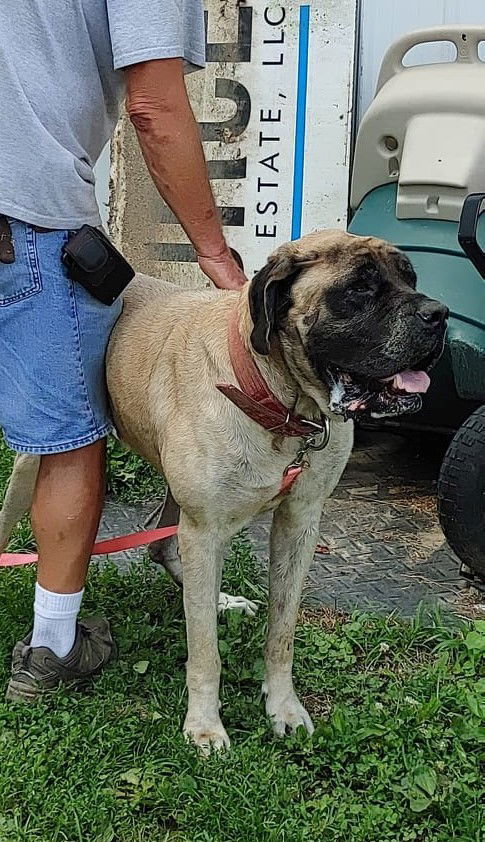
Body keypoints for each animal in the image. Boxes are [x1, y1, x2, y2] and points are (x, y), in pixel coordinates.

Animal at [0, 230, 446, 748]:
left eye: (410, 277)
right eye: (359, 288)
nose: (439, 314)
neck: (281, 402)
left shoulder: (299, 522)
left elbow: (282, 633)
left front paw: (283, 706)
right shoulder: (206, 527)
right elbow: (205, 651)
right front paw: (204, 725)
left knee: (164, 547)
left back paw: (219, 600)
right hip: (40, 457)